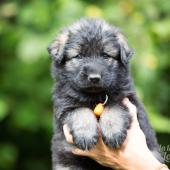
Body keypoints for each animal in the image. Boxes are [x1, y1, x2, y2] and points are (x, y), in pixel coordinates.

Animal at [47, 17, 163, 169]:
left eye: (105, 55)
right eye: (79, 56)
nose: (94, 77)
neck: (94, 96)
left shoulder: (127, 99)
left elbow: (114, 107)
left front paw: (113, 131)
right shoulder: (65, 107)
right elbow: (80, 111)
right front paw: (85, 134)